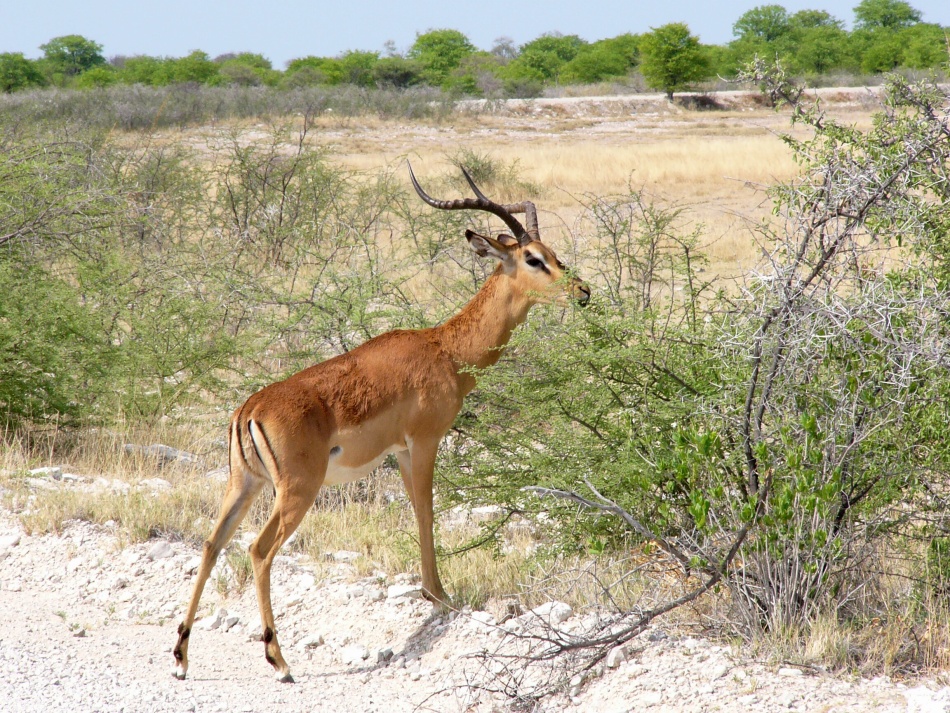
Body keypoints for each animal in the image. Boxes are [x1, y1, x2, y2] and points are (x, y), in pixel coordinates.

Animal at [172, 164, 590, 682]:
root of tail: (249, 410)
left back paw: (182, 657)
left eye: (553, 254)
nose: (583, 292)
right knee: (258, 550)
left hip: (244, 484)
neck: (446, 349)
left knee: (212, 544)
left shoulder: (401, 451)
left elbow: (417, 511)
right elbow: (426, 511)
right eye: (533, 259)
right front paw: (440, 596)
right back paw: (280, 660)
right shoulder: (424, 442)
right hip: (296, 491)